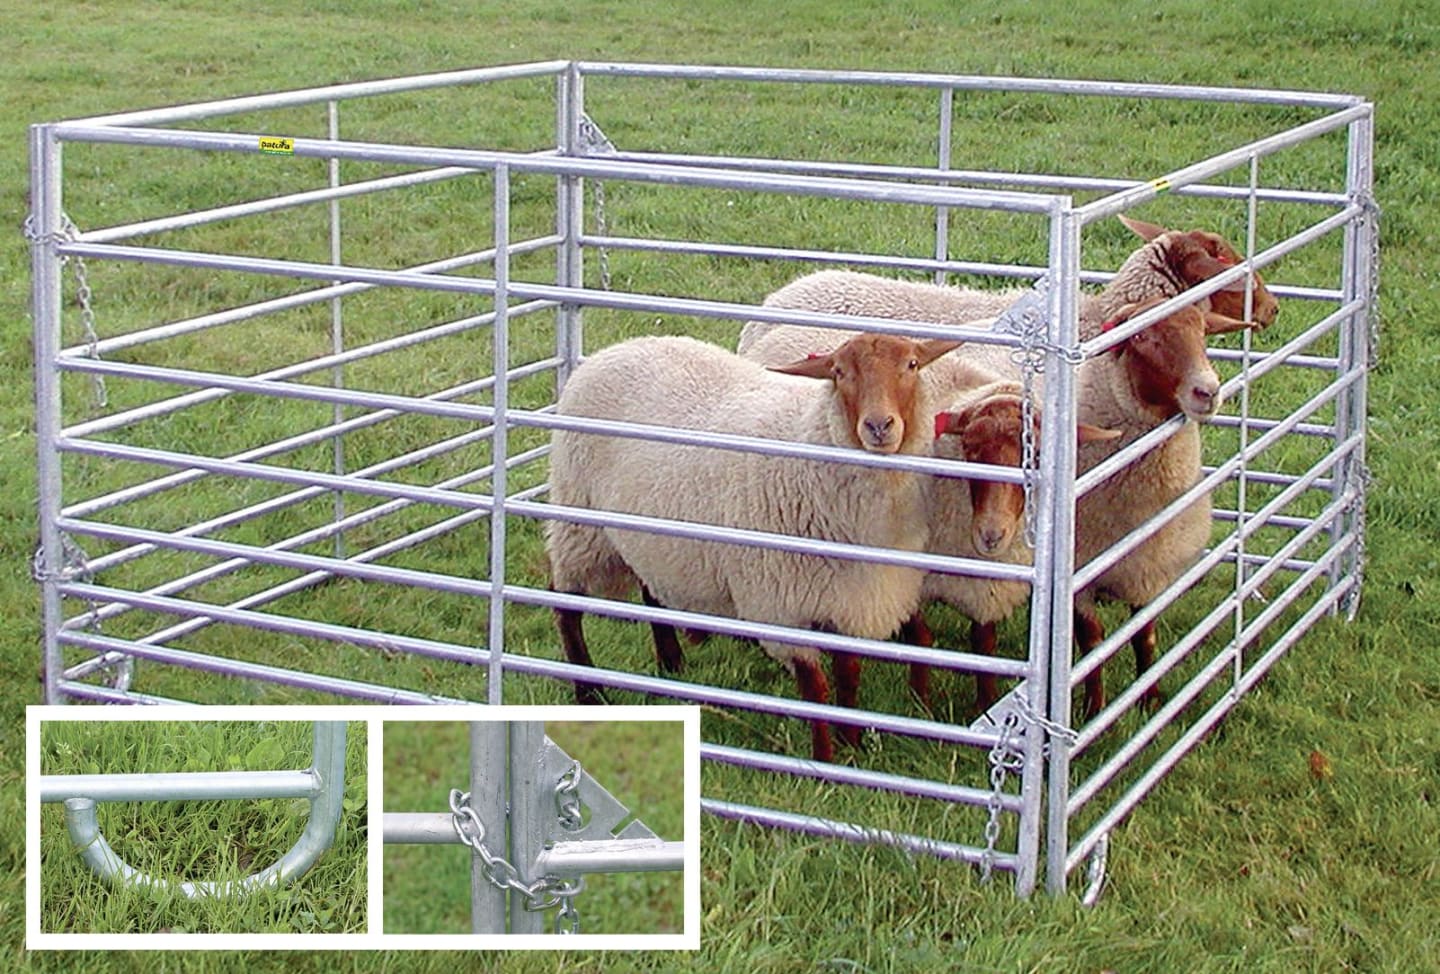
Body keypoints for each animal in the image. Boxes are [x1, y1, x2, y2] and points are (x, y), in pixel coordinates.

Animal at [544, 331, 961, 762]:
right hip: (580, 521)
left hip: (654, 535)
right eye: (838, 372)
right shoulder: (780, 606)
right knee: (563, 602)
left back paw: (671, 663)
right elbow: (815, 690)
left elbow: (848, 675)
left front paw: (852, 743)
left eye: (912, 365)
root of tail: (612, 350)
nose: (879, 425)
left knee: (650, 590)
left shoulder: (851, 597)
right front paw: (824, 761)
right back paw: (588, 692)